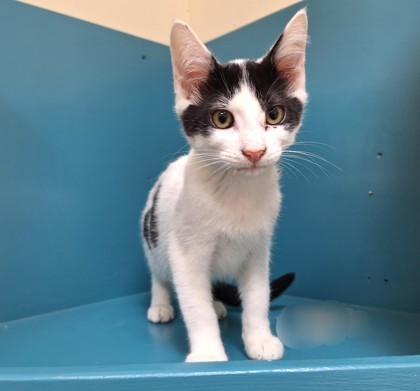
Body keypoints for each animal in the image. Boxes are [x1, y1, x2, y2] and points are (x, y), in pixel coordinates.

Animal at [141, 9, 308, 364]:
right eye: (222, 119)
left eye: (274, 114)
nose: (255, 152)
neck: (237, 192)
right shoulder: (185, 253)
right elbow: (194, 304)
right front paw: (208, 354)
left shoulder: (259, 248)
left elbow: (258, 296)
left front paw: (259, 339)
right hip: (152, 234)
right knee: (160, 274)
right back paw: (161, 304)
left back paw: (218, 303)